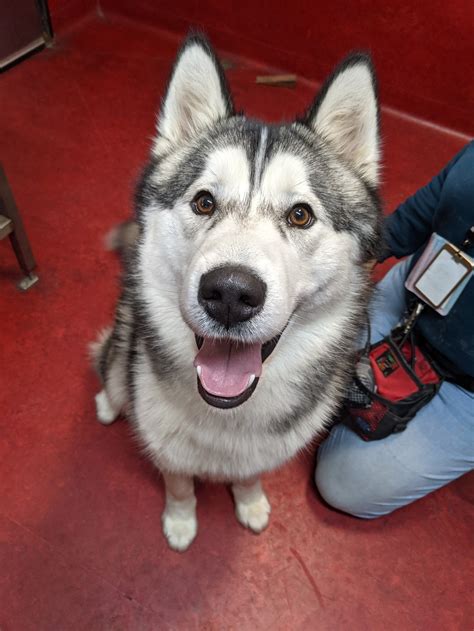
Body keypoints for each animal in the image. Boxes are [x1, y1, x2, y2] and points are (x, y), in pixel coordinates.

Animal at [90, 33, 384, 552]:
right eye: (204, 202)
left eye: (301, 214)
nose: (229, 293)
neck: (226, 413)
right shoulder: (167, 448)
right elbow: (179, 484)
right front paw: (181, 522)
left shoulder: (261, 453)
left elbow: (248, 476)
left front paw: (249, 504)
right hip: (124, 348)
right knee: (112, 365)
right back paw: (108, 402)